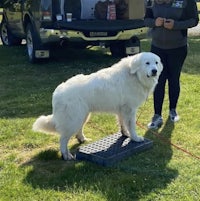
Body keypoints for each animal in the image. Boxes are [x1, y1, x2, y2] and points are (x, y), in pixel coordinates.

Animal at [32, 51, 163, 160]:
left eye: (156, 63)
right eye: (147, 63)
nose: (155, 71)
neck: (134, 76)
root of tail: (57, 93)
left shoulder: (122, 110)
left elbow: (122, 124)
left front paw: (125, 134)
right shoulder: (130, 110)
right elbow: (131, 126)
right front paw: (135, 138)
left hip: (83, 116)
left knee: (78, 130)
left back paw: (82, 139)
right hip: (74, 120)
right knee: (63, 139)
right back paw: (66, 155)